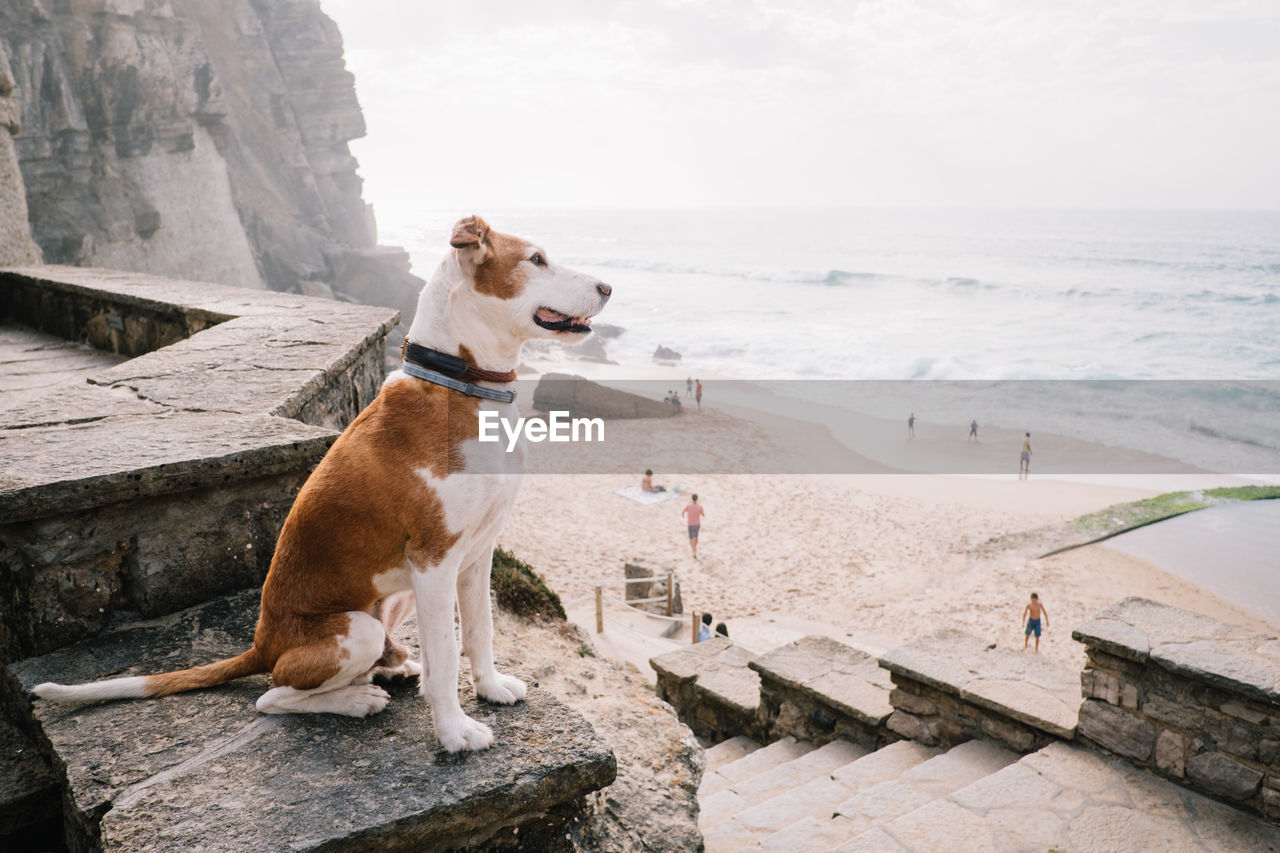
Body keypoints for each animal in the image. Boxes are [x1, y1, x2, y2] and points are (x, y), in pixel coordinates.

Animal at [30, 213, 609, 753]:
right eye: (536, 260)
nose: (607, 287)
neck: (461, 386)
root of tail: (263, 643)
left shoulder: (476, 553)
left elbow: (480, 631)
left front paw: (490, 687)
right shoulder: (434, 560)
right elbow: (446, 658)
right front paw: (454, 732)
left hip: (392, 599)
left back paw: (394, 668)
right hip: (356, 628)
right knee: (273, 696)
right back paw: (355, 700)